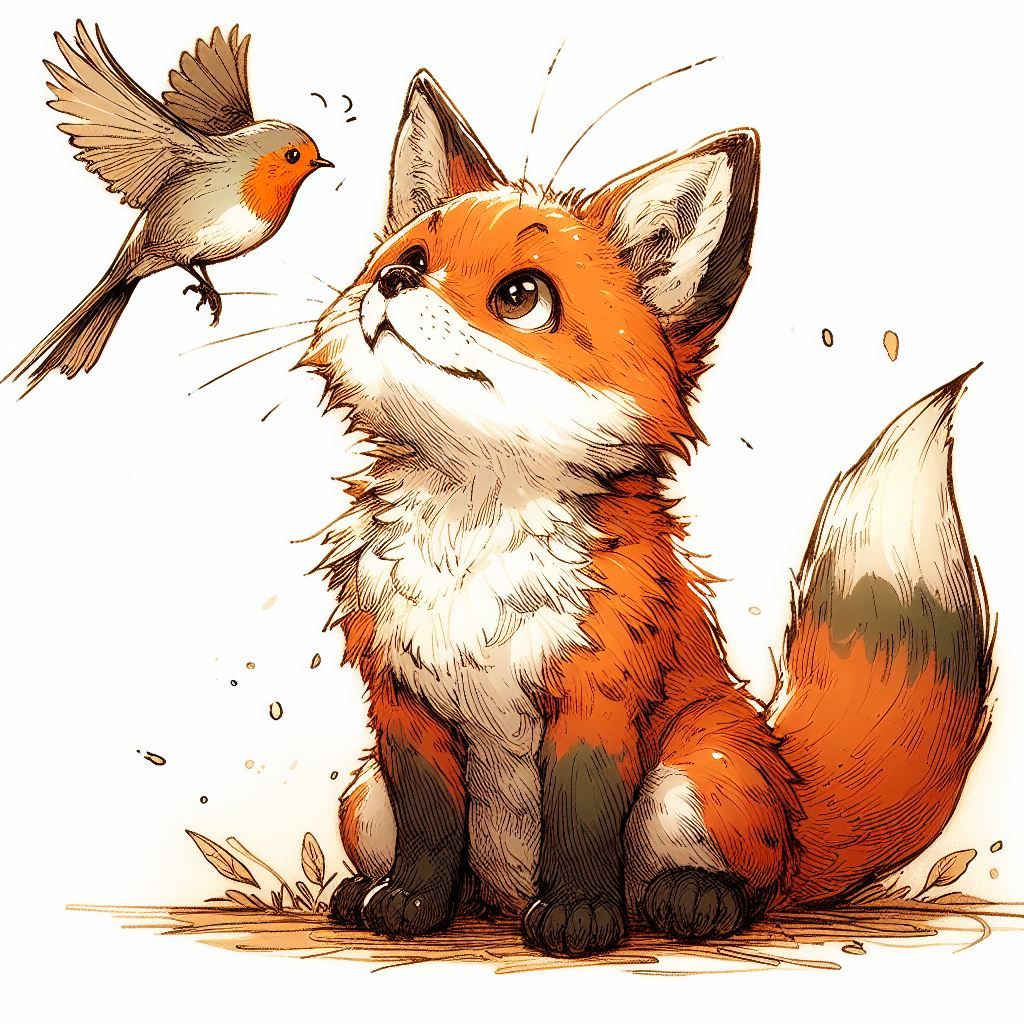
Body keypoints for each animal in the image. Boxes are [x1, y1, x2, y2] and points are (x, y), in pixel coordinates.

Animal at [299, 69, 992, 957]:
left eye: (521, 297)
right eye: (412, 257)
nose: (390, 284)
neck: (472, 536)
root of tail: (793, 794)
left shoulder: (599, 696)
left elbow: (582, 819)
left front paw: (578, 918)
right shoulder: (403, 704)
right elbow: (429, 829)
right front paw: (413, 905)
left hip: (697, 774)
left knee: (753, 886)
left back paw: (689, 901)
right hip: (363, 796)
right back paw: (400, 895)